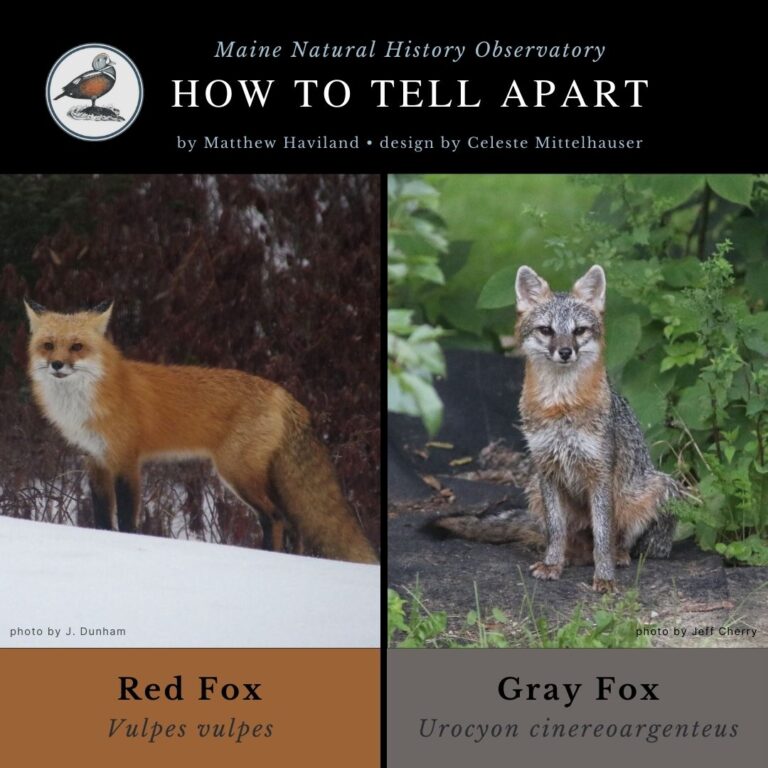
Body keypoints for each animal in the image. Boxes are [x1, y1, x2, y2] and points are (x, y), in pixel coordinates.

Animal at [23, 299, 378, 565]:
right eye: (49, 346)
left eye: (77, 347)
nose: (57, 365)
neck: (88, 400)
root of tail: (284, 394)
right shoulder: (95, 460)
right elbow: (100, 518)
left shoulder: (126, 460)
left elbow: (125, 519)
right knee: (293, 524)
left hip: (237, 474)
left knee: (274, 518)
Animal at [434, 265, 677, 591]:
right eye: (546, 330)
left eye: (579, 331)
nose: (564, 351)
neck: (560, 407)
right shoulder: (547, 468)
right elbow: (556, 530)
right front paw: (552, 564)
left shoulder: (600, 472)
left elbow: (603, 535)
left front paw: (605, 577)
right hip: (535, 490)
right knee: (564, 538)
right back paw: (569, 557)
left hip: (655, 490)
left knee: (622, 542)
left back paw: (618, 557)